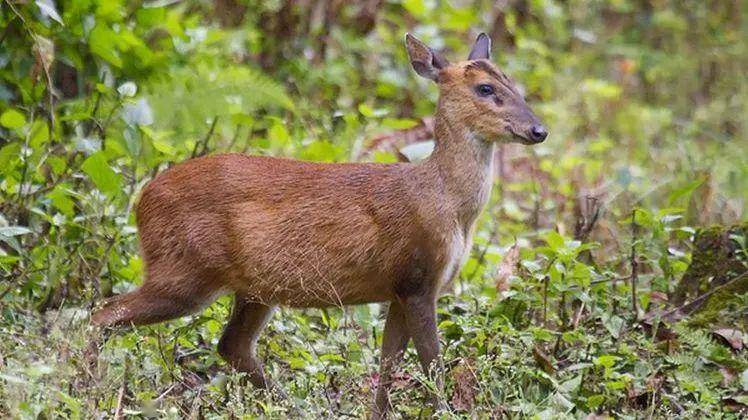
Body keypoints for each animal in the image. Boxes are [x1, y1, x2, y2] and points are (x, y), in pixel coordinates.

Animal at [92, 32, 548, 416]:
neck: (445, 203)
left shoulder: (399, 288)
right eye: (485, 89)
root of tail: (141, 201)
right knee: (102, 313)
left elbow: (387, 366)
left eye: (512, 82)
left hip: (254, 288)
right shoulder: (419, 277)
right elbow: (432, 365)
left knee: (231, 345)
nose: (538, 130)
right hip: (183, 270)